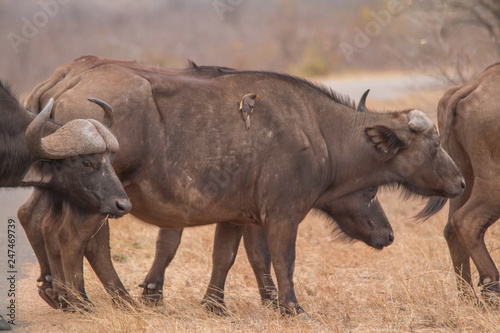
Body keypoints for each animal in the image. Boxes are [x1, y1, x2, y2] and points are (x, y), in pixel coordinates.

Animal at [22, 55, 460, 314]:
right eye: (435, 144)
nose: (459, 181)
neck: (319, 131)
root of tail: (65, 82)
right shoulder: (283, 214)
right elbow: (282, 259)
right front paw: (290, 307)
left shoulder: (236, 216)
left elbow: (230, 257)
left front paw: (215, 304)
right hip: (97, 195)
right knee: (74, 237)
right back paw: (83, 301)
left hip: (60, 189)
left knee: (37, 220)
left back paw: (71, 294)